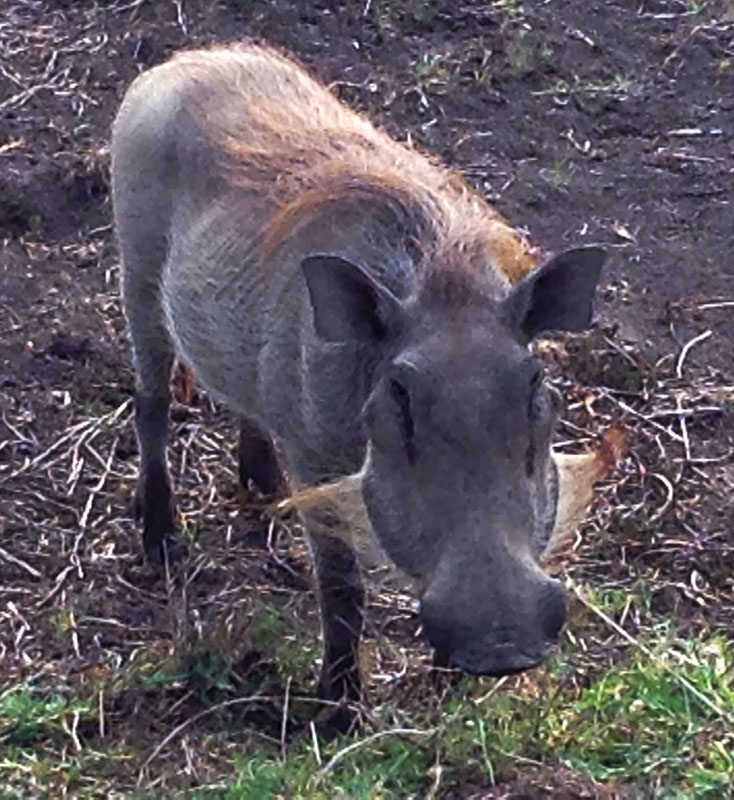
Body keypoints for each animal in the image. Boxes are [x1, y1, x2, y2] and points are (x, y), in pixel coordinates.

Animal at [111, 43, 605, 727]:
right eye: (399, 396)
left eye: (535, 385)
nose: (501, 645)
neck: (441, 279)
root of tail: (187, 60)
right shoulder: (317, 460)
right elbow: (342, 590)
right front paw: (342, 708)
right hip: (138, 279)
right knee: (151, 404)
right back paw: (162, 542)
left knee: (246, 406)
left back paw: (264, 494)